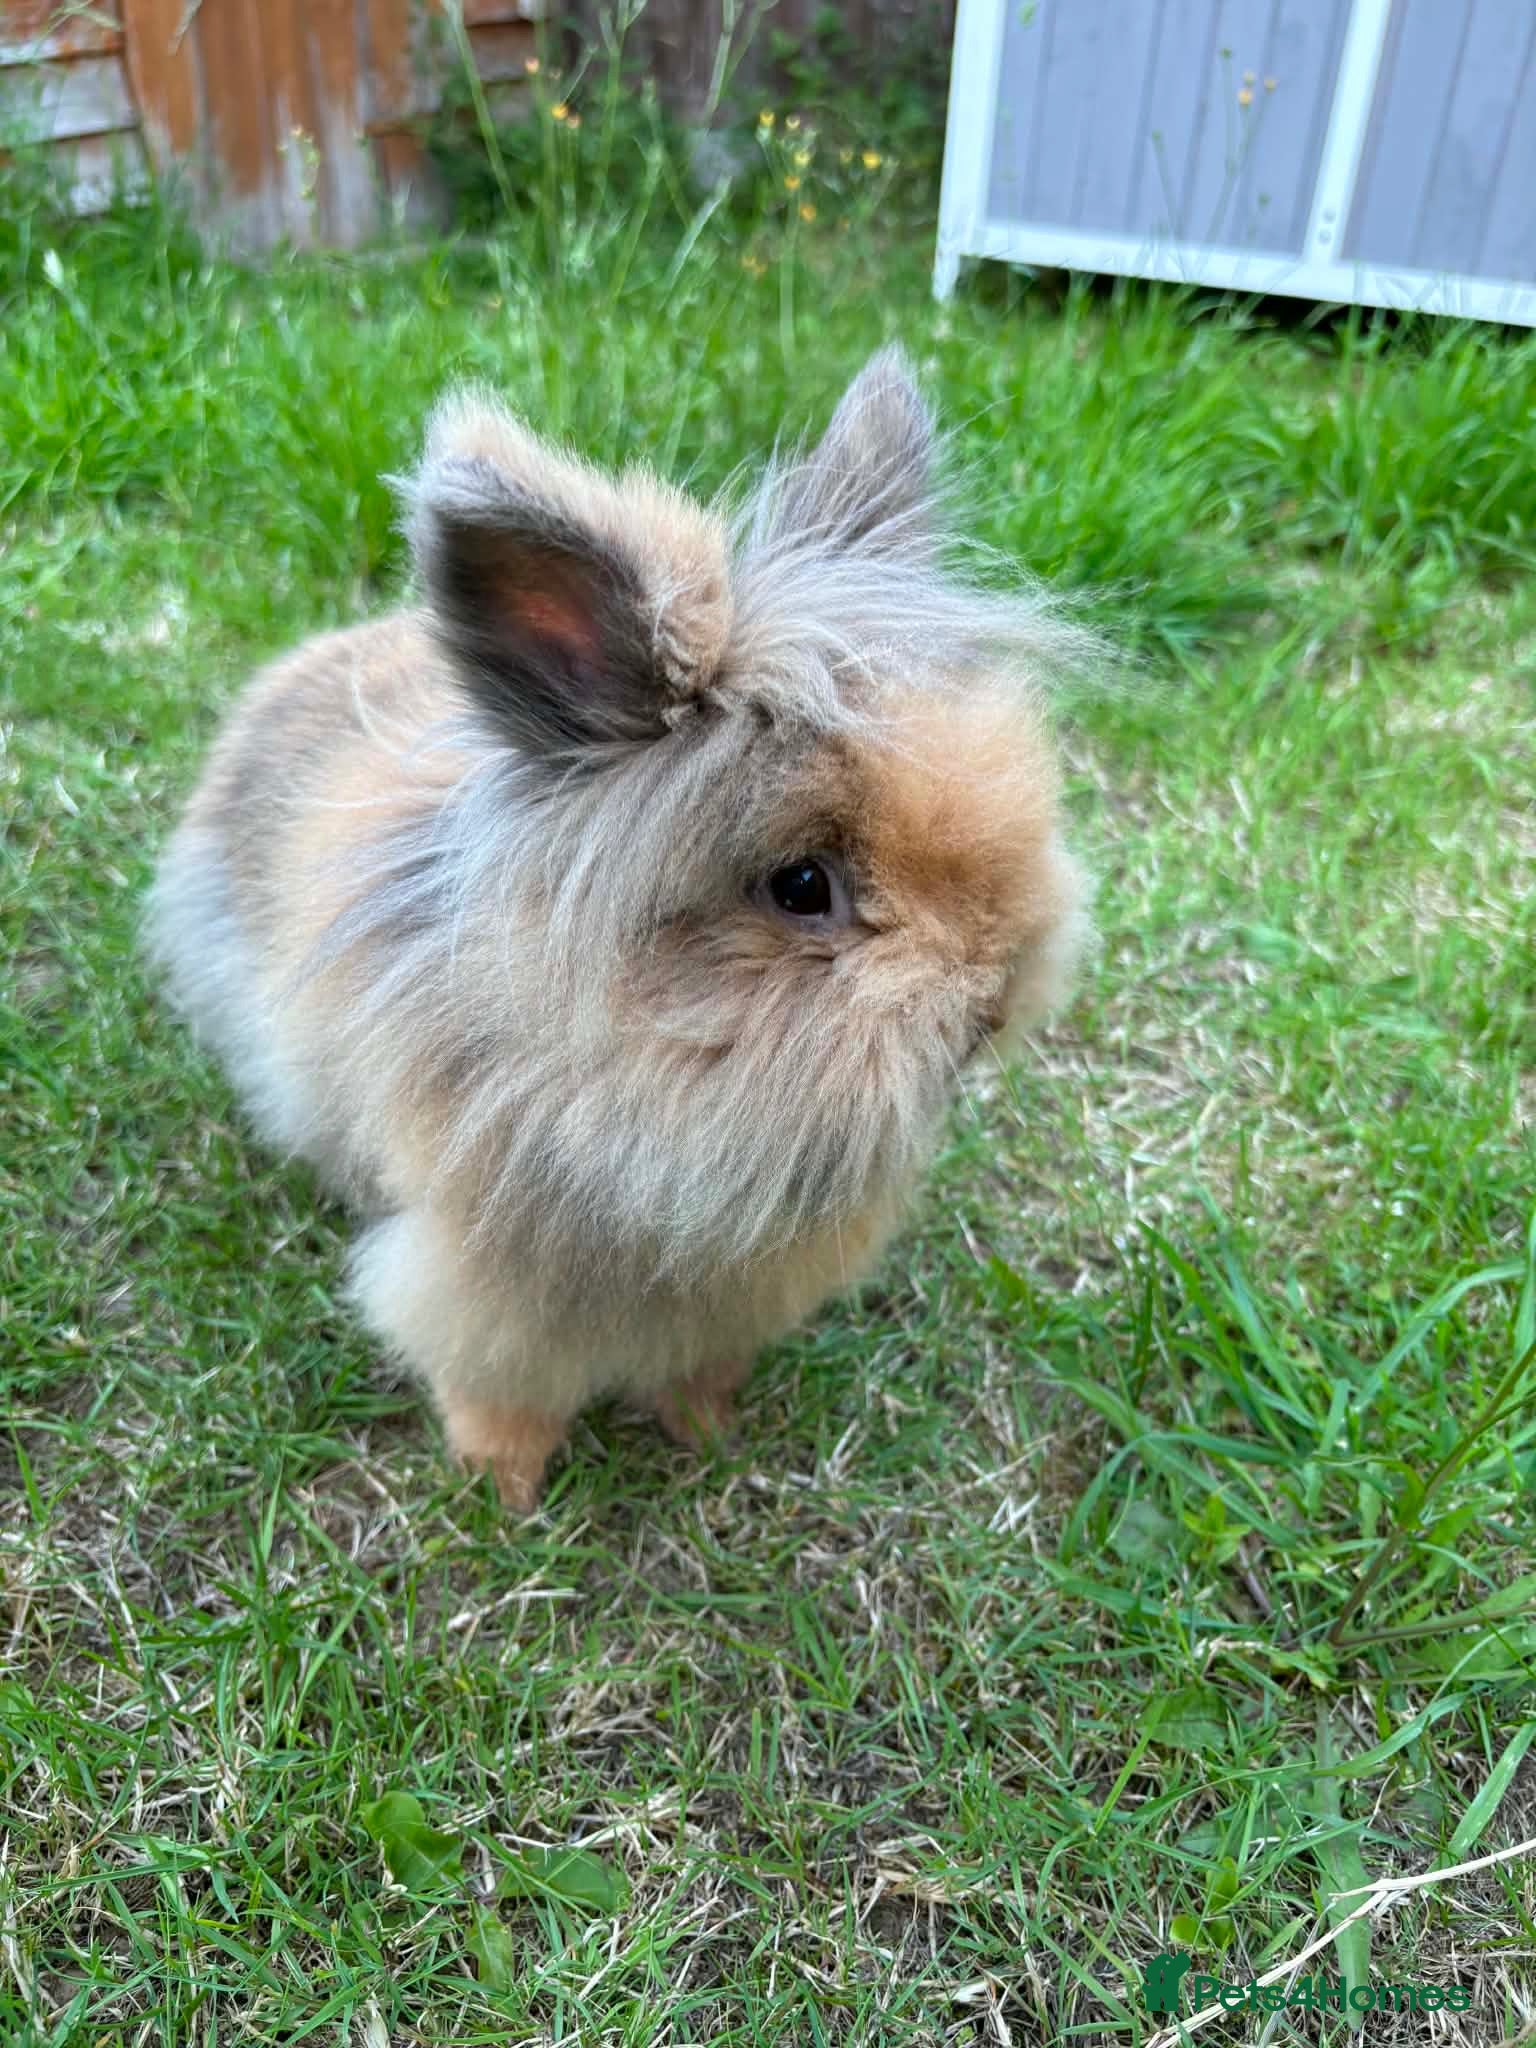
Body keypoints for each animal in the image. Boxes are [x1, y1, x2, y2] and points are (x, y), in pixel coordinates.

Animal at [145, 347, 1093, 1512]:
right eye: (802, 885)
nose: (992, 1004)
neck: (647, 1079)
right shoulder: (479, 1282)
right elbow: (496, 1384)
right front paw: (501, 1489)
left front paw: (710, 1433)